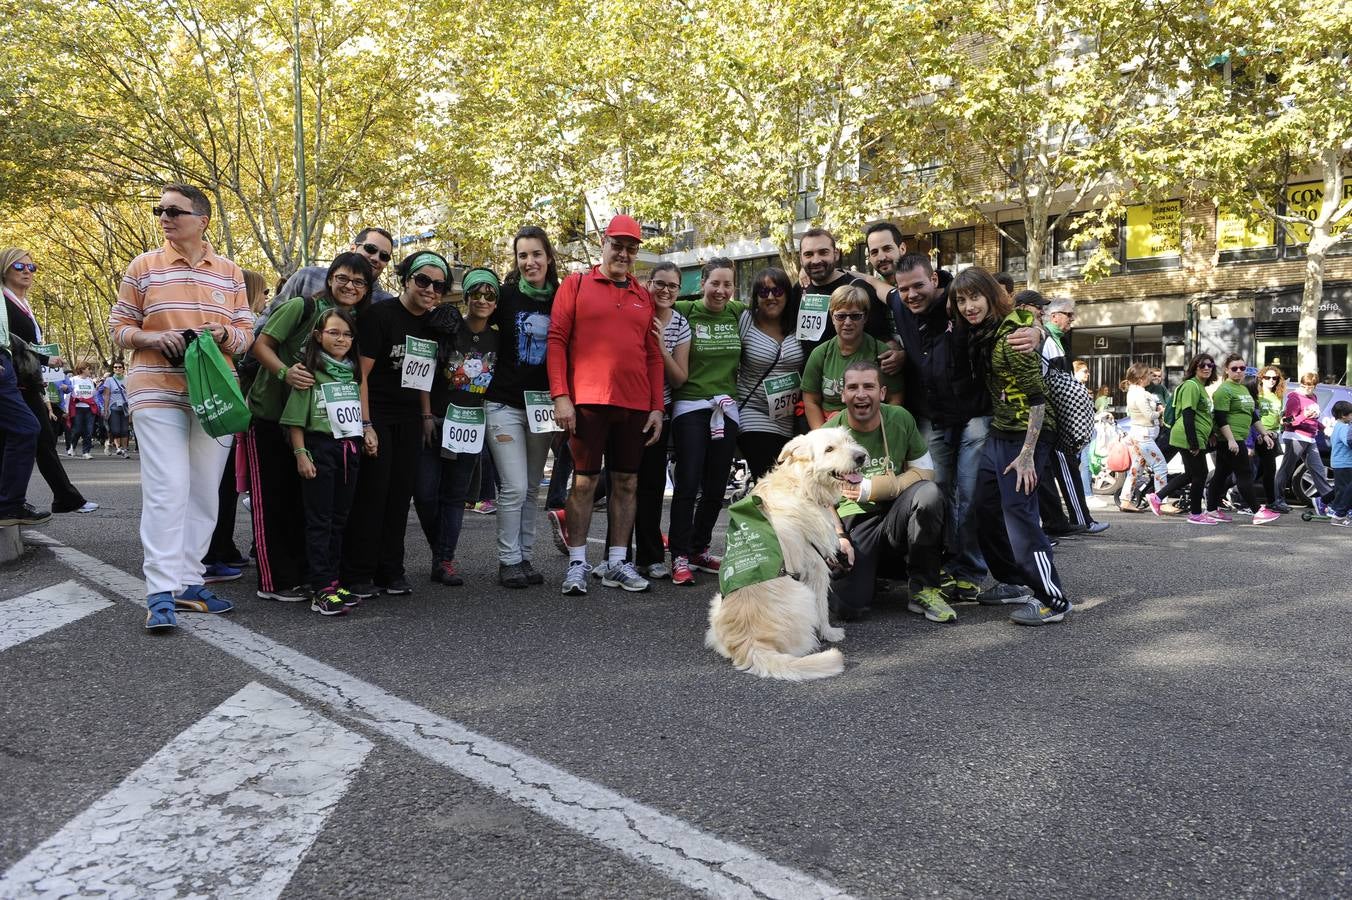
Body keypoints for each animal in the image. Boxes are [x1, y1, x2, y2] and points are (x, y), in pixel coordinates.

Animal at [708, 427, 865, 681]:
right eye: (829, 449)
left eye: (849, 441)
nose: (861, 456)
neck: (801, 484)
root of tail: (751, 644)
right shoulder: (817, 568)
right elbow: (822, 608)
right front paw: (829, 633)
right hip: (802, 595)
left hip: (715, 604)